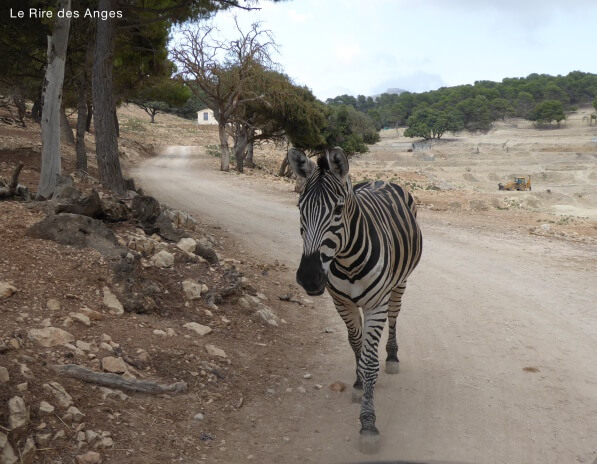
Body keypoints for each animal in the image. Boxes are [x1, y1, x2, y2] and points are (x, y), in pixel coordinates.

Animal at [286, 146, 422, 454]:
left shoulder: (376, 305)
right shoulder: (341, 302)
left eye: (338, 210)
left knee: (395, 315)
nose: (309, 278)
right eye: (300, 208)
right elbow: (356, 344)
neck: (348, 261)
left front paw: (368, 424)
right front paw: (359, 384)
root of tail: (380, 180)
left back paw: (392, 356)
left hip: (399, 284)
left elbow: (371, 362)